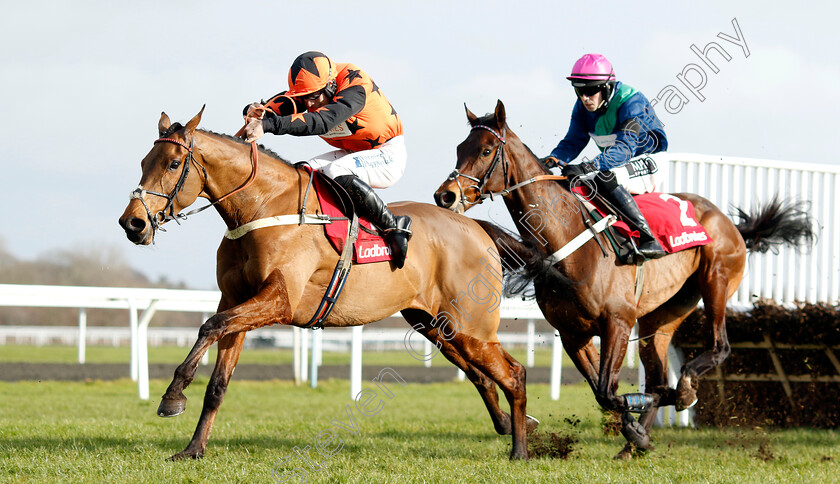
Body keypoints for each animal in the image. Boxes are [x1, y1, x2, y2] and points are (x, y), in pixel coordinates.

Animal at [117, 107, 532, 462]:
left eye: (173, 163)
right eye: (143, 163)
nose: (132, 223)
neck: (263, 207)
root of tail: (476, 227)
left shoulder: (278, 301)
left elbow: (209, 326)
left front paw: (172, 396)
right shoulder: (236, 300)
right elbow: (218, 379)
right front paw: (193, 448)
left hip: (469, 326)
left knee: (512, 373)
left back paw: (520, 450)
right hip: (435, 325)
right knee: (485, 376)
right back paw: (513, 425)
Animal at [434, 101, 812, 458]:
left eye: (486, 150)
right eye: (460, 148)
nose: (445, 196)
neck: (567, 240)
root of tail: (728, 221)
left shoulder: (617, 320)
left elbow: (608, 391)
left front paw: (645, 417)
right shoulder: (573, 333)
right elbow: (602, 390)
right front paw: (636, 433)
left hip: (716, 281)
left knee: (719, 347)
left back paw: (685, 388)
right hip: (661, 316)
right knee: (658, 377)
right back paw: (637, 441)